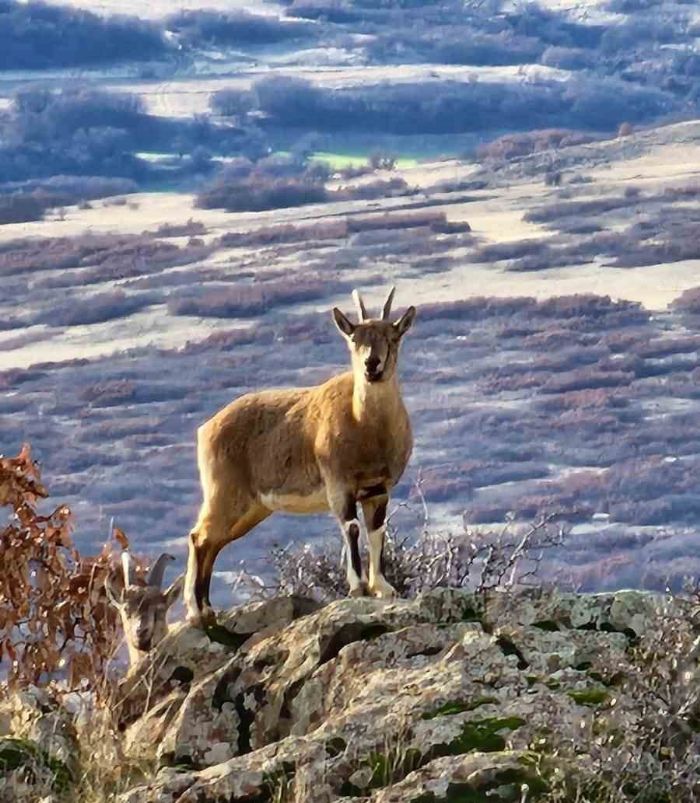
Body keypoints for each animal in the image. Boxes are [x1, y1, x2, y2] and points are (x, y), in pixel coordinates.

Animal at [185, 288, 416, 628]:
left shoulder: (378, 489)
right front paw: (358, 586)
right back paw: (197, 611)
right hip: (224, 493)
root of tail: (207, 429)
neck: (365, 425)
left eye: (392, 336)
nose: (371, 365)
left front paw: (382, 587)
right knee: (200, 537)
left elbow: (377, 532)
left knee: (213, 541)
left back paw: (207, 609)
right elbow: (352, 528)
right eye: (354, 338)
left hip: (251, 508)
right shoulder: (339, 485)